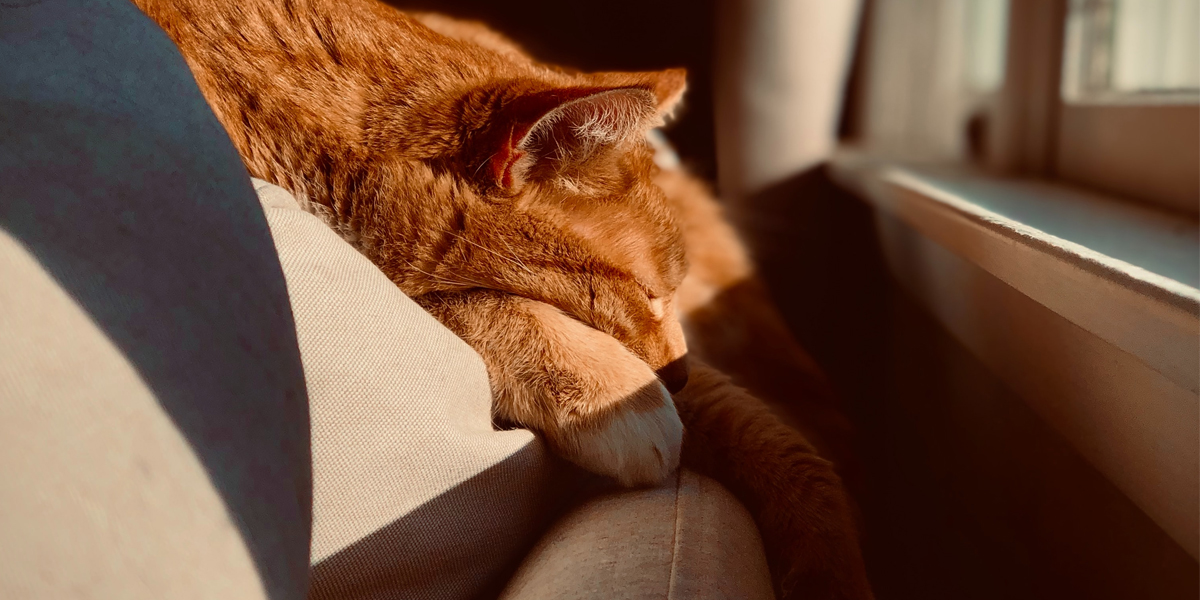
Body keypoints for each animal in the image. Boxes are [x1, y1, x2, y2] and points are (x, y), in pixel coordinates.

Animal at [130, 0, 873, 597]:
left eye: (672, 292)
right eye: (648, 292)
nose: (683, 370)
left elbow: (784, 450)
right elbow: (471, 301)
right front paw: (613, 395)